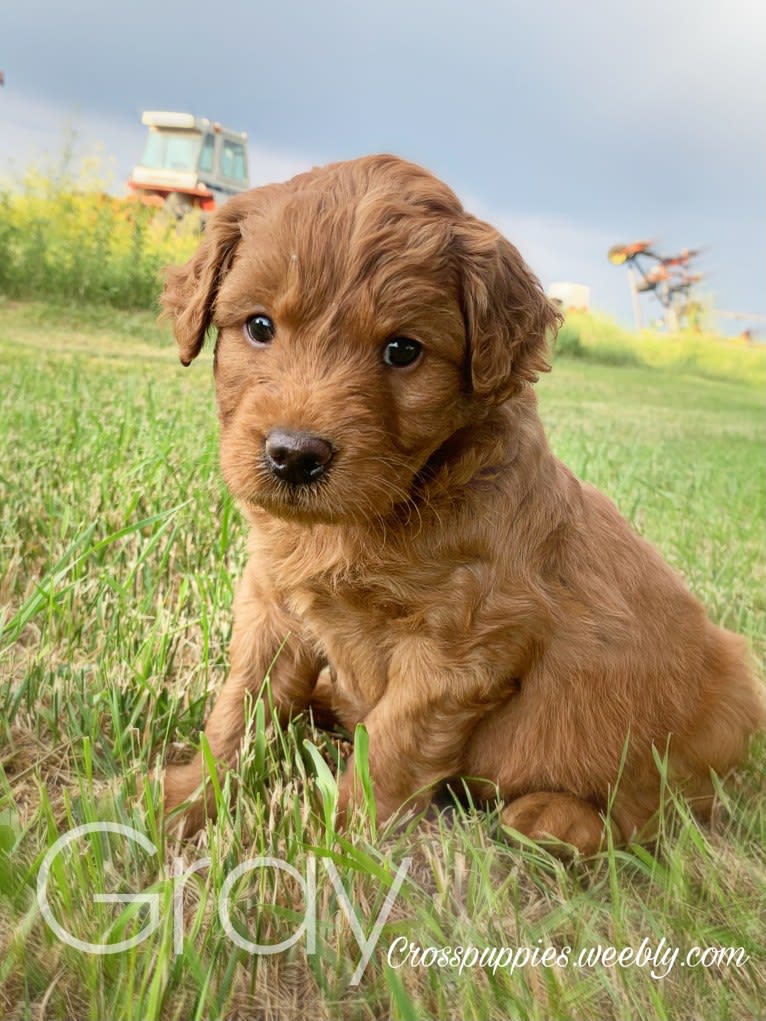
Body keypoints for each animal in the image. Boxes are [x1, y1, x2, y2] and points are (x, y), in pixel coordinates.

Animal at [159, 151, 763, 853]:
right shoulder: (273, 604)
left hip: (724, 706)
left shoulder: (461, 644)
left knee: (655, 815)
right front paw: (181, 803)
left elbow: (389, 747)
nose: (294, 456)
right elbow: (238, 708)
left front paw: (338, 848)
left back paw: (555, 819)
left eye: (403, 350)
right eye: (259, 327)